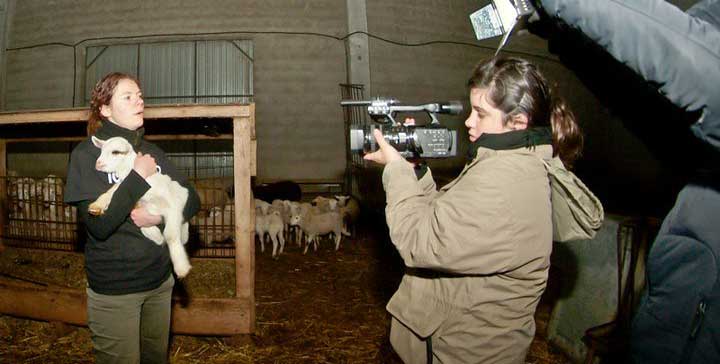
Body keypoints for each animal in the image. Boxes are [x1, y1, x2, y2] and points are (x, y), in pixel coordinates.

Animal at [87, 136, 193, 278]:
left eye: (115, 152)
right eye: (101, 150)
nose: (98, 164)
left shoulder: (173, 206)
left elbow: (170, 235)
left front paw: (181, 267)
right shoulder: (140, 204)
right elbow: (113, 191)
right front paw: (97, 205)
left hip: (182, 193)